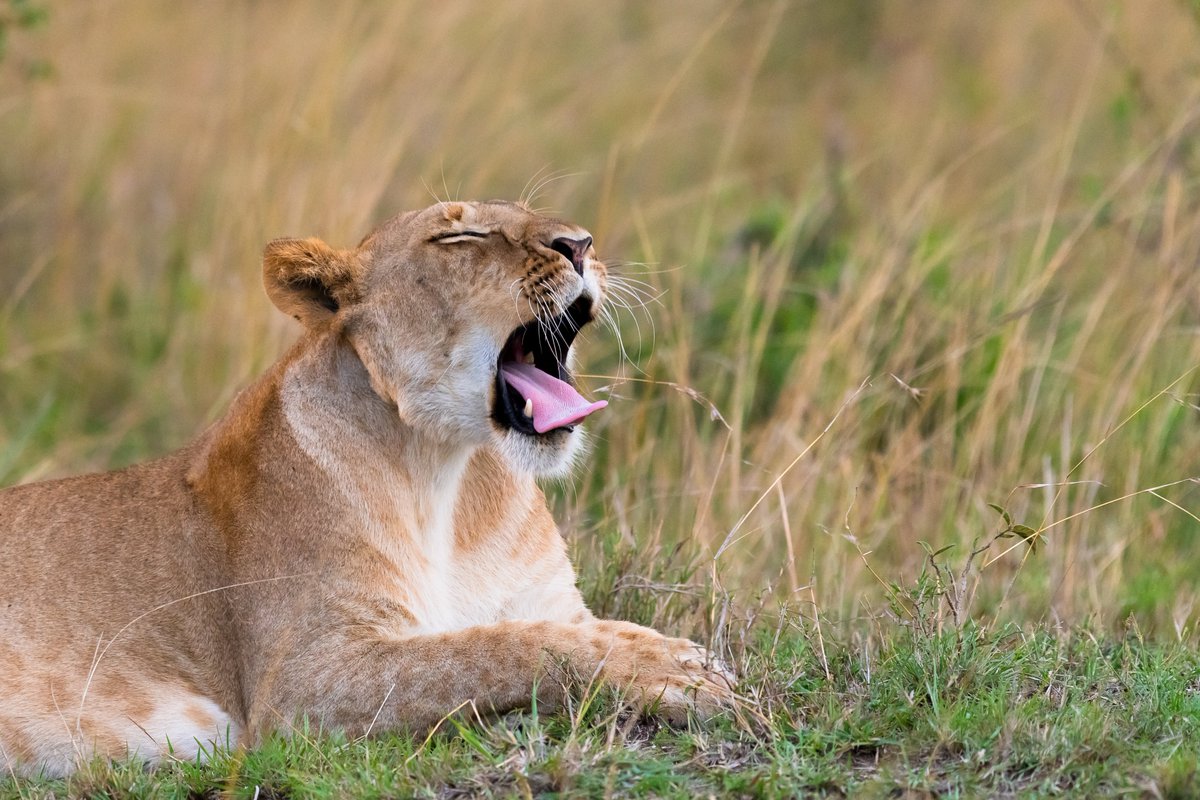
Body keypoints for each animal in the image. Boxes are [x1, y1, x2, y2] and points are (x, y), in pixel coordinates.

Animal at [0, 200, 735, 777]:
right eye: (461, 236)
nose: (580, 245)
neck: (447, 468)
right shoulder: (300, 687)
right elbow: (498, 648)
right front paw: (673, 670)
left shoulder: (555, 605)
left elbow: (571, 630)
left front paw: (673, 654)